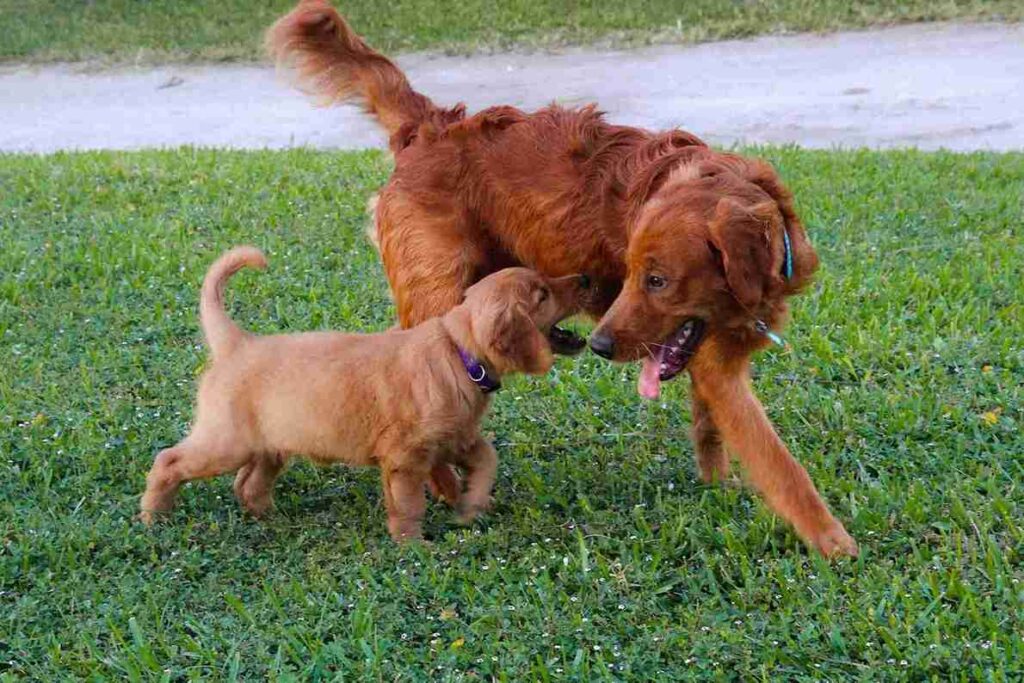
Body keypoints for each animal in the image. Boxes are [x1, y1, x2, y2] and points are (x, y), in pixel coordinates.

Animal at [140, 248, 585, 540]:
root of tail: (238, 343)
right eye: (542, 295)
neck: (459, 353)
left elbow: (486, 458)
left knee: (248, 484)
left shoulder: (453, 438)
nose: (585, 278)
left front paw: (471, 505)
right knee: (169, 461)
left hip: (270, 443)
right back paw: (153, 515)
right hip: (225, 442)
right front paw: (413, 546)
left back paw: (270, 517)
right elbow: (409, 503)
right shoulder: (406, 457)